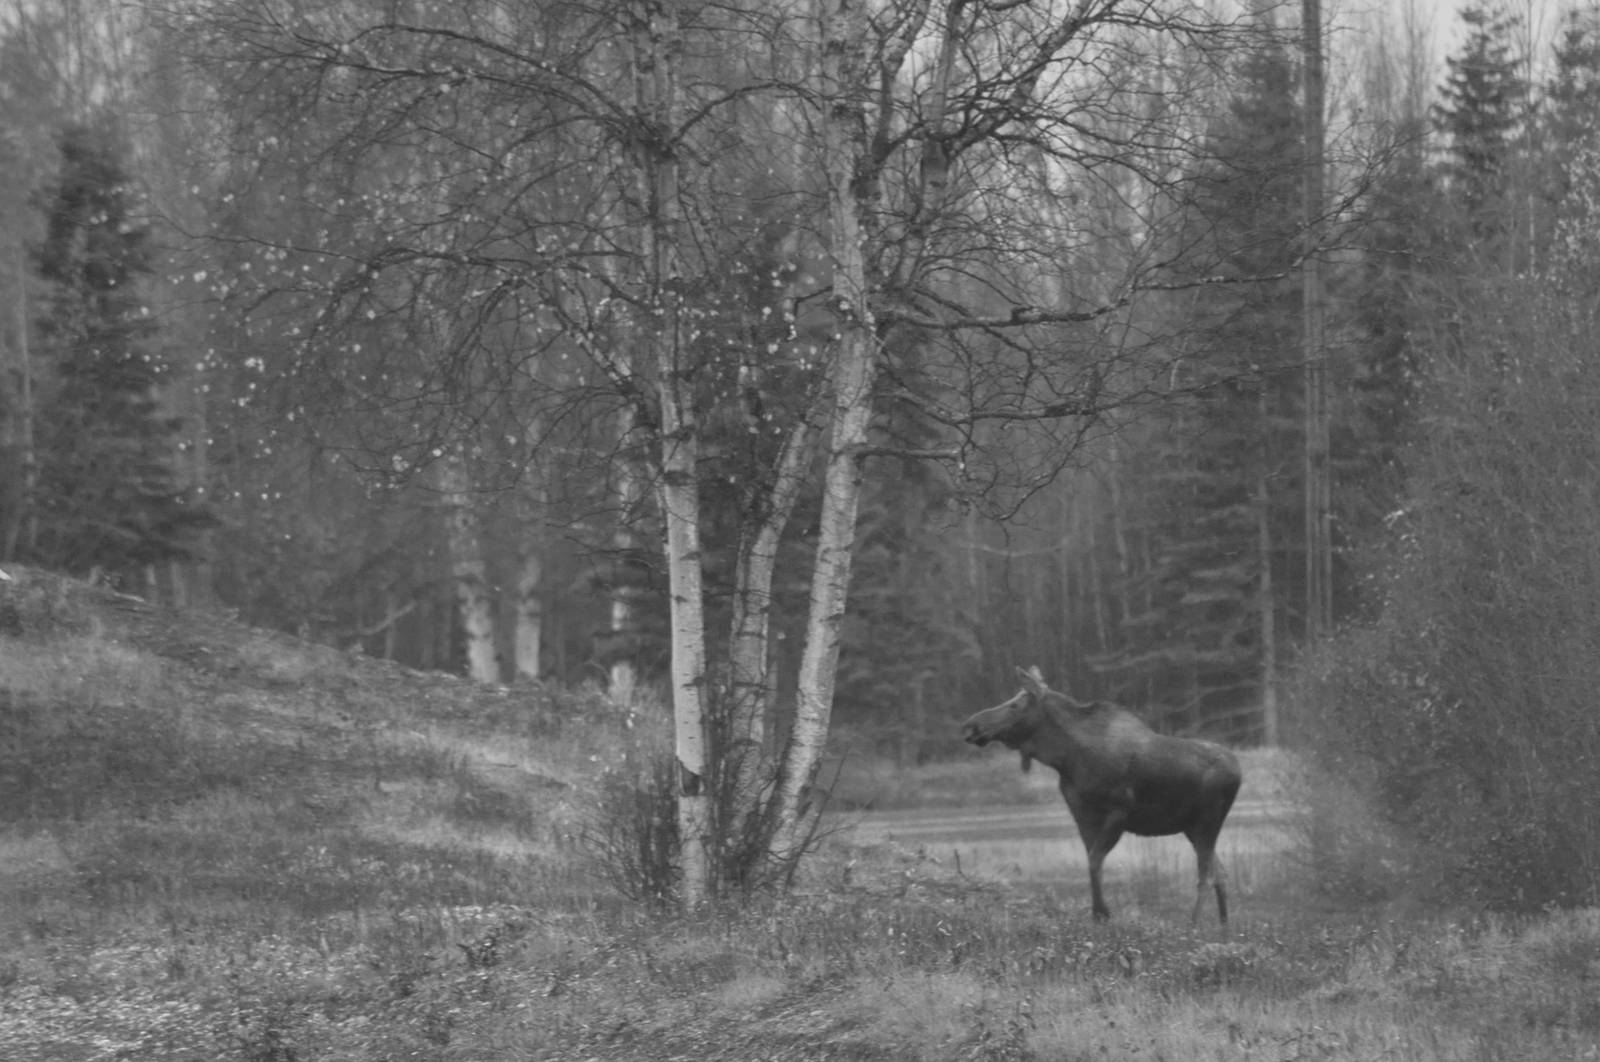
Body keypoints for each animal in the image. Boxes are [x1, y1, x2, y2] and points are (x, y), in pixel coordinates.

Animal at [960, 666, 1242, 925]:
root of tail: (1238, 773)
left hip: (1207, 822)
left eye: (1015, 705)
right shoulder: (1082, 813)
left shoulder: (1119, 811)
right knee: (1221, 873)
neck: (1066, 759)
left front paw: (1102, 912)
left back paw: (1193, 926)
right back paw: (1224, 932)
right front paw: (1098, 914)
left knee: (1207, 875)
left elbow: (1095, 859)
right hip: (1191, 827)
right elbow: (1092, 859)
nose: (970, 725)